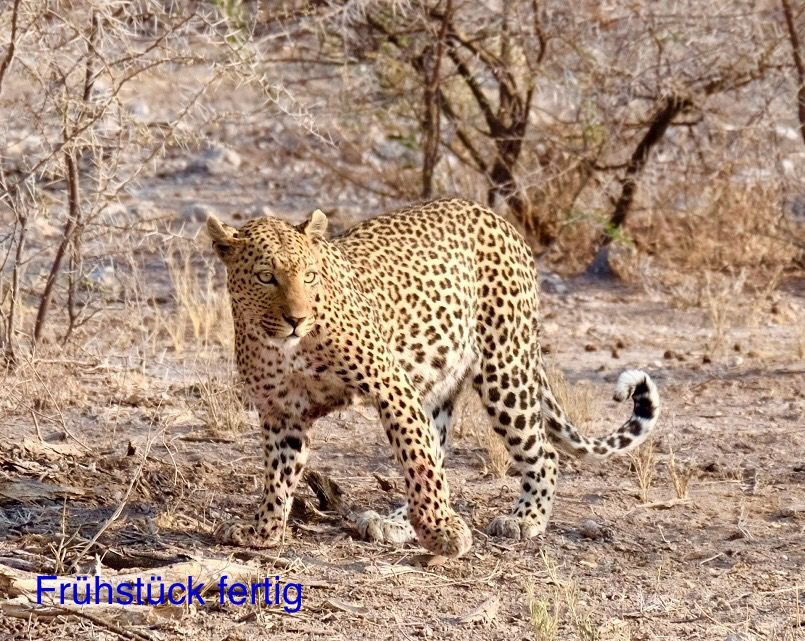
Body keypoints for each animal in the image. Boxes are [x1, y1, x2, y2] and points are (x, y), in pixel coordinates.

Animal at [206, 198, 660, 556]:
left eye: (310, 276)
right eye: (266, 277)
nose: (297, 319)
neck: (281, 347)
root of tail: (496, 217)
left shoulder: (389, 383)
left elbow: (417, 459)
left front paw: (444, 533)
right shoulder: (283, 413)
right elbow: (279, 476)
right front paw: (262, 531)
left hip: (504, 369)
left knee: (541, 453)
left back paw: (524, 518)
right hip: (440, 383)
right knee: (438, 447)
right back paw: (397, 523)